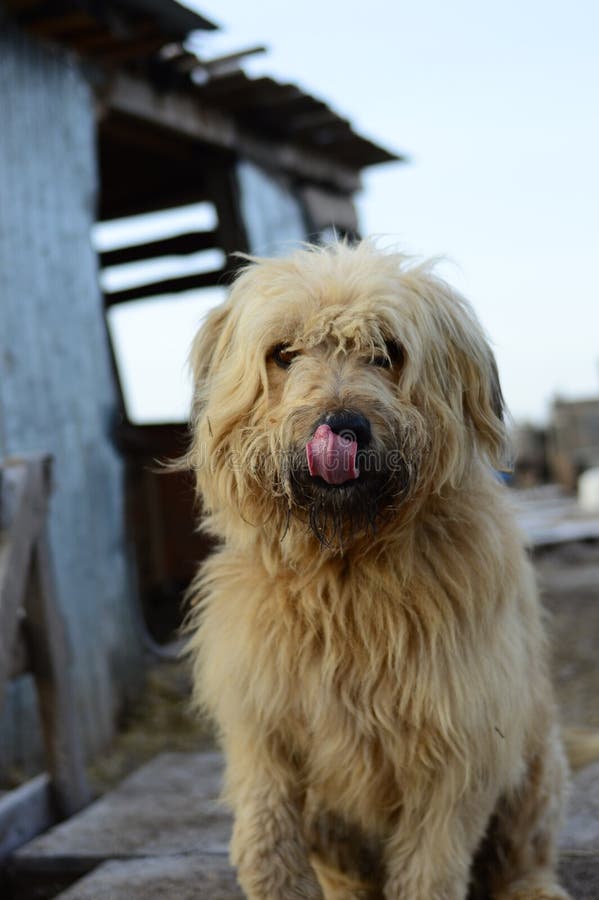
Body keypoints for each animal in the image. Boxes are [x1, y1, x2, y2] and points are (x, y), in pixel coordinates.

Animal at [185, 243, 568, 896]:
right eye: (282, 353)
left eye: (388, 352)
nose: (341, 427)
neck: (347, 568)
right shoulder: (261, 716)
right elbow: (265, 827)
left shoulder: (459, 746)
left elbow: (431, 865)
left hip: (535, 756)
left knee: (524, 851)